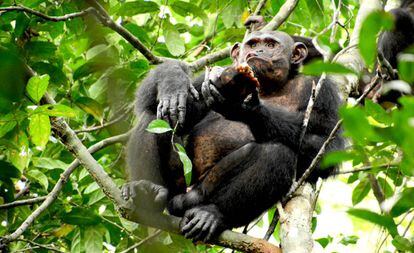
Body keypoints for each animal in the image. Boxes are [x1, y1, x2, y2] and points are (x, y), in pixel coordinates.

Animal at [122, 29, 342, 241]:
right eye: (252, 44)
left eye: (271, 44)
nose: (258, 51)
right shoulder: (205, 81)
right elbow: (153, 103)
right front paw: (173, 83)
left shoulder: (323, 89)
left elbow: (328, 144)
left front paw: (242, 108)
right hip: (179, 184)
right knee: (153, 118)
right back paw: (146, 189)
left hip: (201, 194)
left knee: (277, 153)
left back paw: (211, 214)